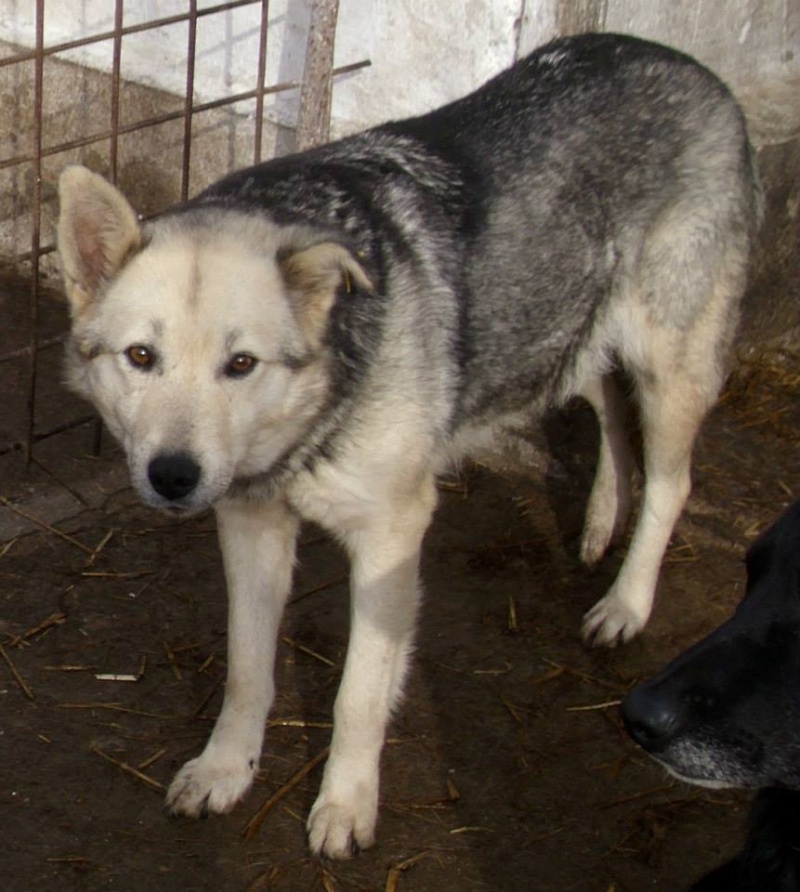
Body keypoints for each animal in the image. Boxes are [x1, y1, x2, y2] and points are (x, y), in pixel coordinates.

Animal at [57, 34, 764, 856]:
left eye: (241, 365)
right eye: (141, 357)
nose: (173, 476)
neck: (318, 410)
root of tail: (685, 62)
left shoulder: (392, 537)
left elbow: (358, 695)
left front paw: (345, 805)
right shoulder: (252, 525)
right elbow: (246, 670)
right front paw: (227, 769)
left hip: (667, 364)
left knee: (672, 483)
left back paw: (625, 603)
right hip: (559, 335)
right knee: (609, 410)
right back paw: (596, 524)